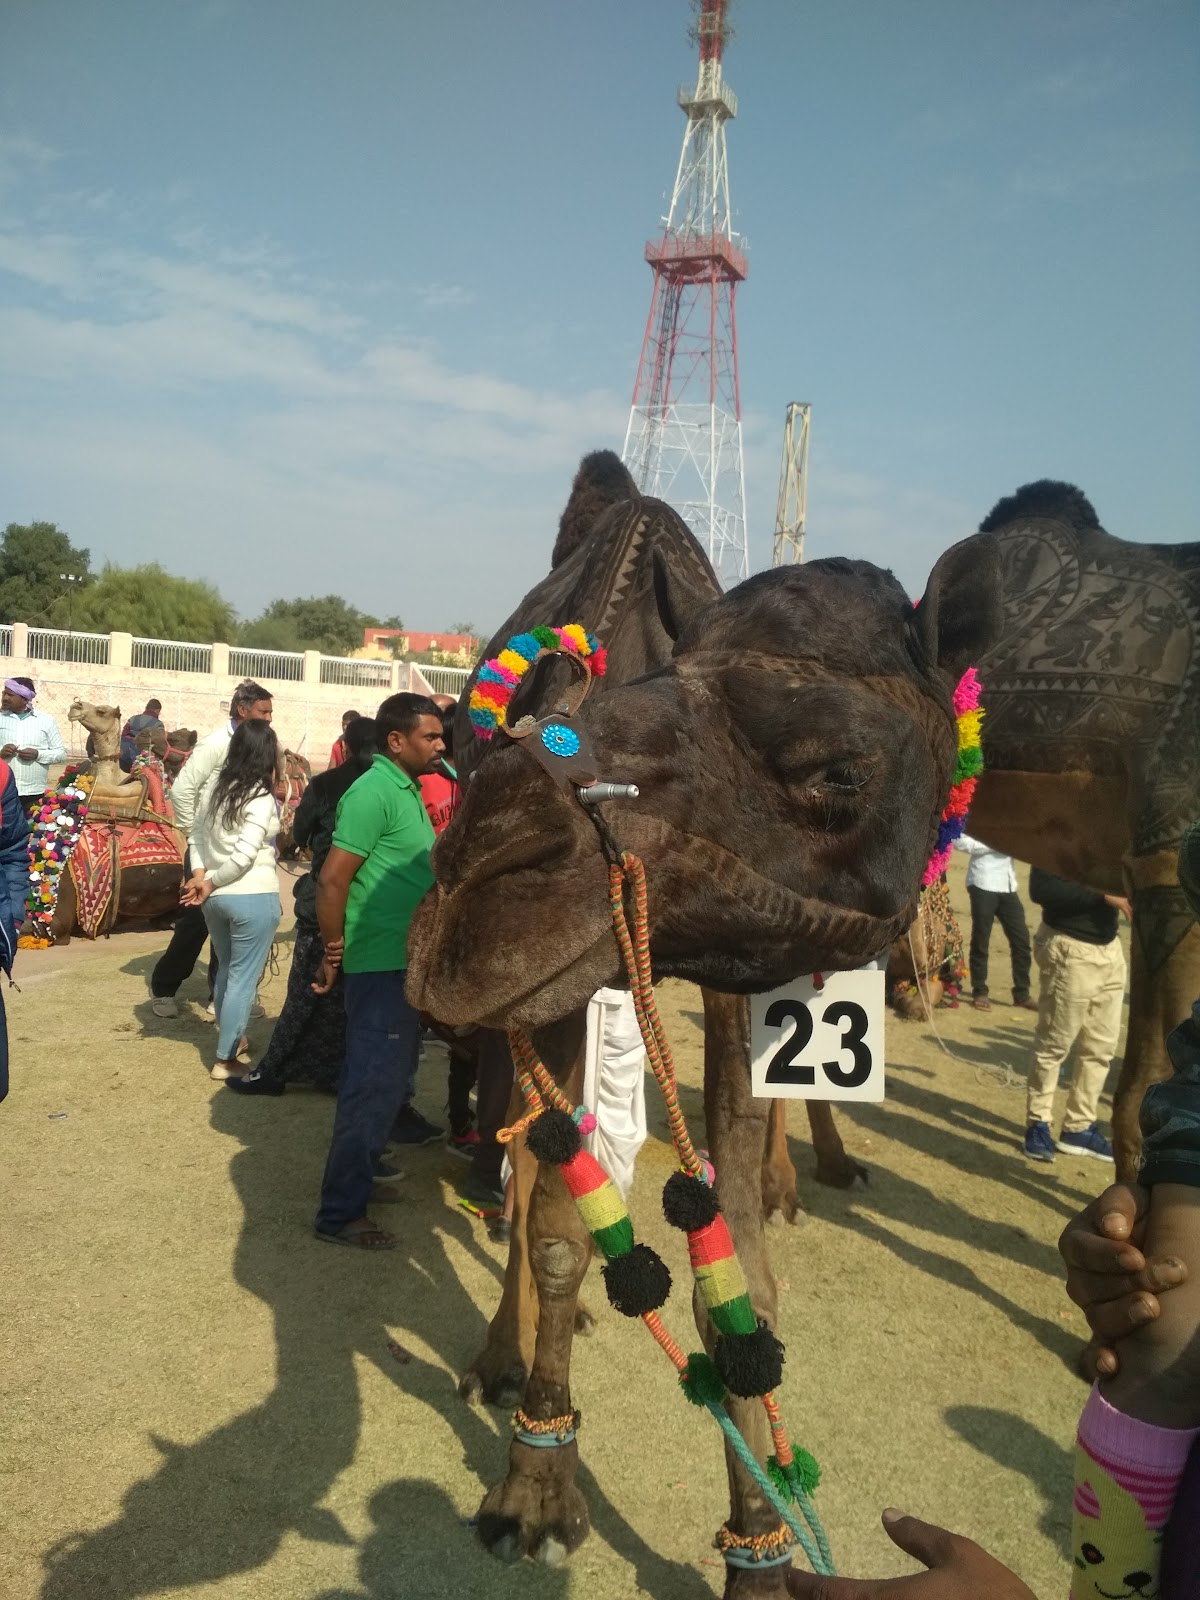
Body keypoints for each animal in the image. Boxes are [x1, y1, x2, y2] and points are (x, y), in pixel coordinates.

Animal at [409, 498, 999, 1588]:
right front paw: (533, 1491)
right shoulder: (565, 974)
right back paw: (503, 1355)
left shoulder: (744, 963)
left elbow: (745, 1277)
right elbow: (557, 1227)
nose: (479, 869)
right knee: (522, 1161)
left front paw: (761, 1554)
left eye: (841, 769)